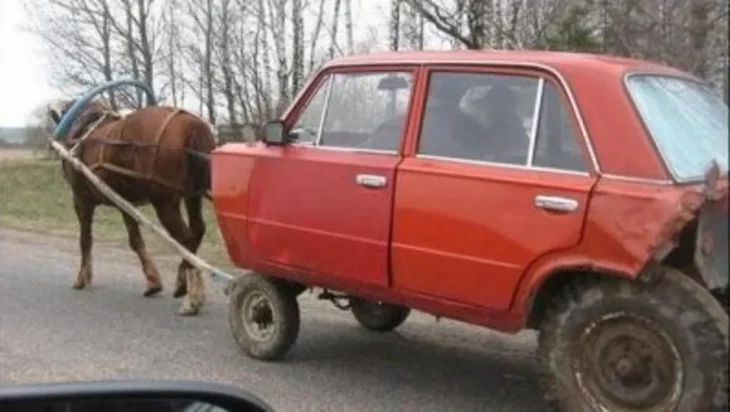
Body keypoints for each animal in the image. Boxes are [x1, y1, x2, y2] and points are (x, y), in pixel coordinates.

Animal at [46, 99, 213, 316]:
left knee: (185, 238)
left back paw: (191, 297)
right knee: (197, 230)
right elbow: (135, 240)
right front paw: (153, 281)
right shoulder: (125, 201)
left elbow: (85, 240)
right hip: (192, 194)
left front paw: (82, 278)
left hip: (164, 200)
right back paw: (182, 282)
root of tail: (192, 125)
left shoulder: (81, 199)